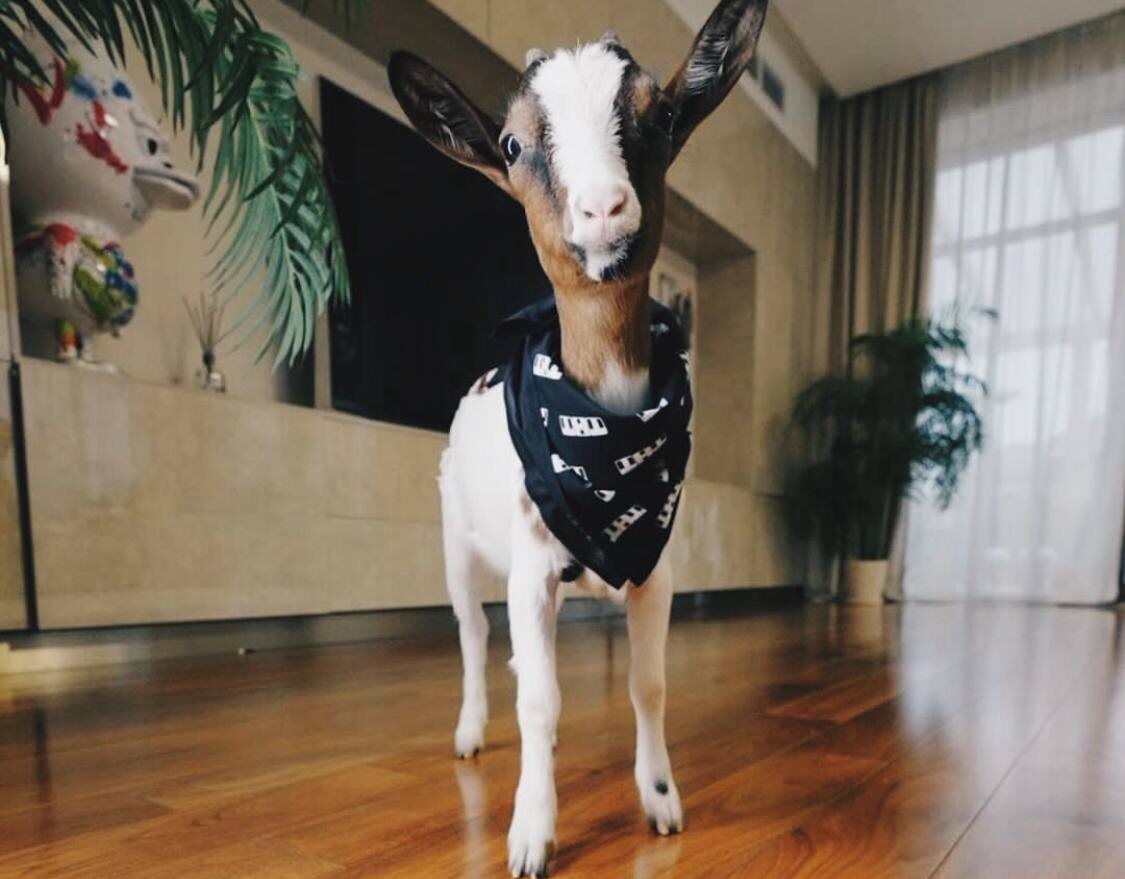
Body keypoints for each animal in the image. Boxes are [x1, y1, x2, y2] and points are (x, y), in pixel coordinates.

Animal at [388, 1, 767, 874]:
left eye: (658, 116)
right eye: (510, 144)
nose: (601, 208)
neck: (605, 436)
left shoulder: (655, 568)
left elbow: (646, 685)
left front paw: (660, 800)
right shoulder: (531, 567)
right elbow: (539, 700)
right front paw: (530, 833)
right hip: (456, 542)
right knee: (471, 633)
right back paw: (468, 733)